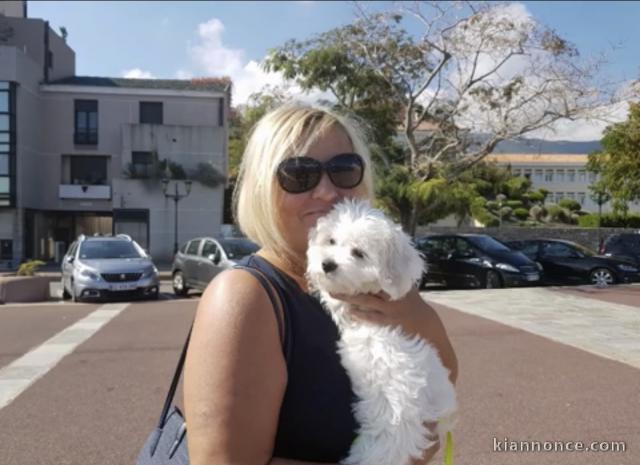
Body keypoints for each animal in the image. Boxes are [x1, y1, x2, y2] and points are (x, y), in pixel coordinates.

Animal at [304, 198, 456, 464]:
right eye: (331, 241)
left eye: (359, 253)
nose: (327, 264)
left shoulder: (350, 305)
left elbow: (333, 296)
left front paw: (315, 280)